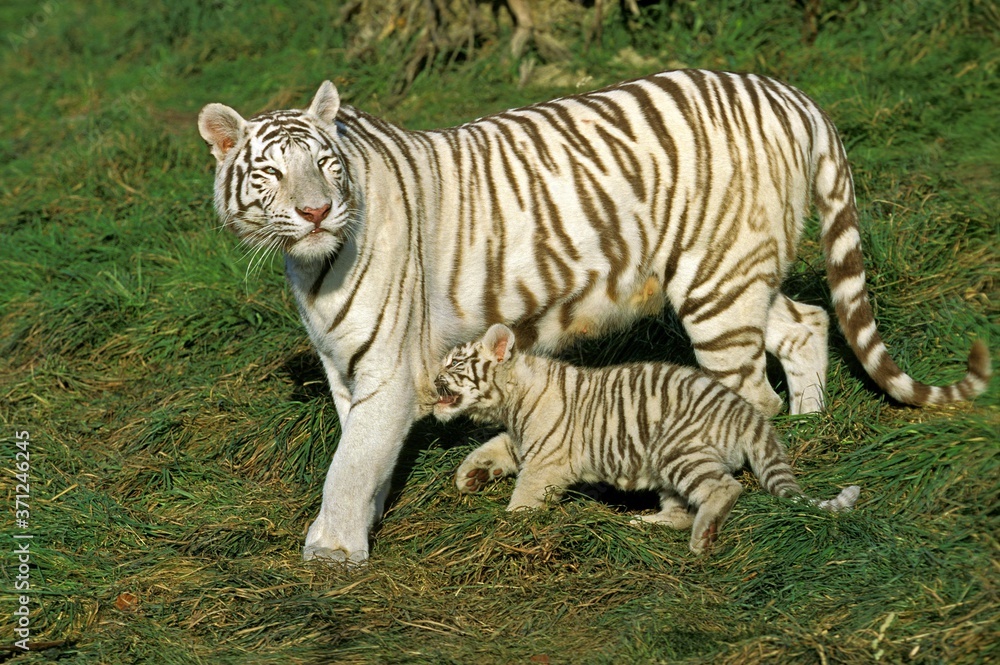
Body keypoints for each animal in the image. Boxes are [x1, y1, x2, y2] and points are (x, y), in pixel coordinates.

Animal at [433, 324, 861, 553]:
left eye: (455, 364)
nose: (432, 379)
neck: (513, 398)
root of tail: (747, 414)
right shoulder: (523, 441)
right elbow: (491, 448)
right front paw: (470, 476)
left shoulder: (546, 459)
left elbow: (525, 493)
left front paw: (508, 523)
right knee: (680, 511)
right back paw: (644, 524)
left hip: (677, 450)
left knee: (725, 488)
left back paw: (702, 537)